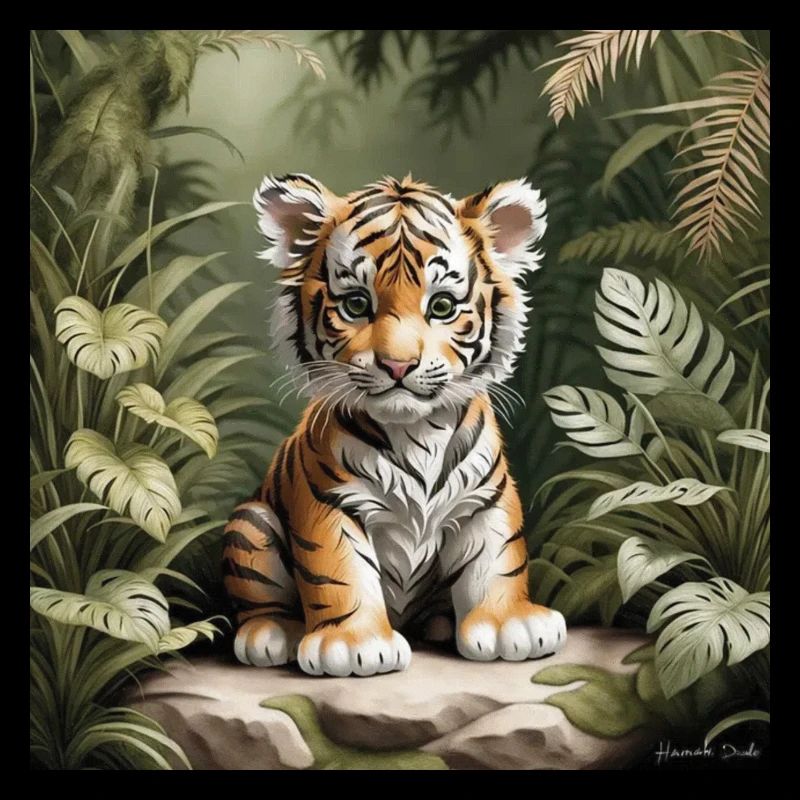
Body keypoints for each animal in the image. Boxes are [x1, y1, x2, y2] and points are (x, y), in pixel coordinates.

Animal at [222, 173, 567, 677]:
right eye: (355, 304)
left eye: (441, 307)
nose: (398, 365)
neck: (416, 434)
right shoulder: (329, 502)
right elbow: (339, 571)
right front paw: (352, 645)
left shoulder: (486, 498)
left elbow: (499, 558)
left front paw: (510, 626)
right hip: (251, 524)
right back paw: (271, 633)